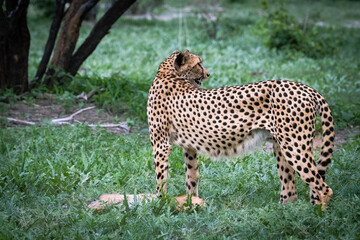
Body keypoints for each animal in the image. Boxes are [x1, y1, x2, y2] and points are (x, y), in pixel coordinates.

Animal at [146, 49, 334, 207]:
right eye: (199, 64)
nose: (208, 73)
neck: (168, 73)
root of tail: (306, 88)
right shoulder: (189, 147)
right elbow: (191, 177)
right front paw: (192, 202)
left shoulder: (161, 145)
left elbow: (160, 177)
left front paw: (161, 203)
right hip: (281, 146)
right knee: (290, 189)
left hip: (294, 146)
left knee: (323, 187)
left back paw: (318, 216)